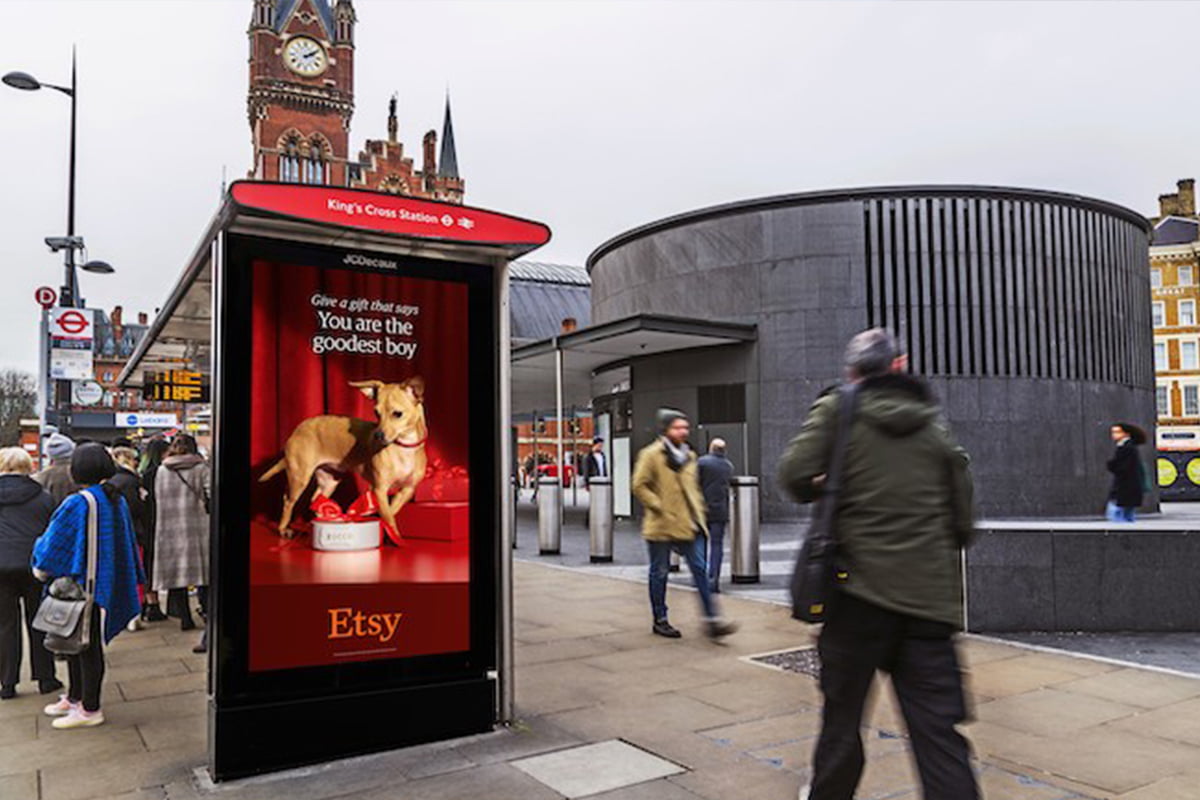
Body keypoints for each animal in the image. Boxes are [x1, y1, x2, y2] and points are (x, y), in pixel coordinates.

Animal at [260, 379, 429, 542]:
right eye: (376, 413)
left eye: (397, 414)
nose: (378, 435)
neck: (403, 447)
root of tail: (298, 429)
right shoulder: (379, 489)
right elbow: (388, 515)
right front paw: (393, 534)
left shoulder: (407, 490)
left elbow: (390, 512)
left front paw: (385, 528)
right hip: (299, 478)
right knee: (288, 501)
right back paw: (283, 529)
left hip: (330, 481)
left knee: (316, 499)